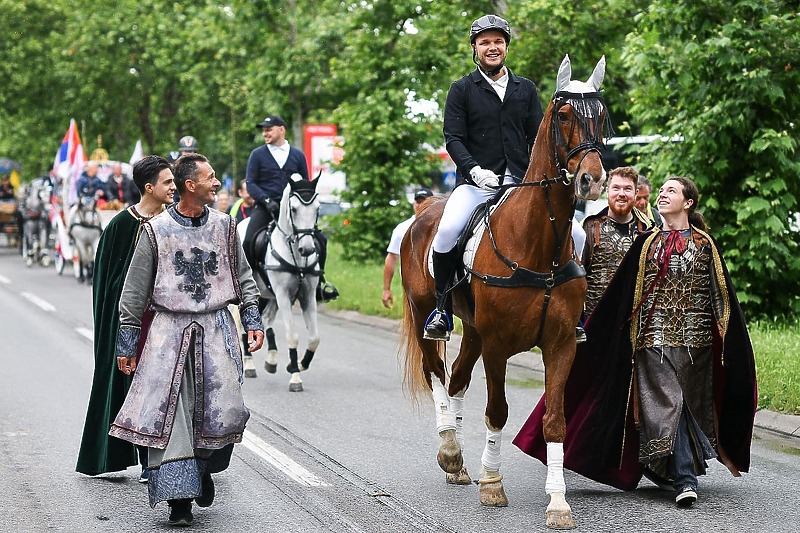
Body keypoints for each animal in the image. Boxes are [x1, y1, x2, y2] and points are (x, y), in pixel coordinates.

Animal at [238, 175, 322, 390]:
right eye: (294, 209)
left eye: (317, 208)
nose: (307, 249)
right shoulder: (283, 295)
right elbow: (292, 336)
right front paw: (295, 377)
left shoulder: (308, 297)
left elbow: (314, 338)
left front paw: (300, 363)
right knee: (243, 326)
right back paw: (249, 364)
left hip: (269, 296)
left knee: (266, 320)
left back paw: (272, 359)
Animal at [400, 56, 612, 528]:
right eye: (564, 116)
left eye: (602, 116)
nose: (591, 181)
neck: (538, 244)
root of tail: (423, 214)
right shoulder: (498, 345)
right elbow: (497, 410)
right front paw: (493, 484)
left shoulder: (560, 344)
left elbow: (555, 421)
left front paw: (558, 503)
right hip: (428, 315)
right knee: (436, 372)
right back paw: (449, 448)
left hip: (475, 331)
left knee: (457, 378)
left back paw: (458, 463)